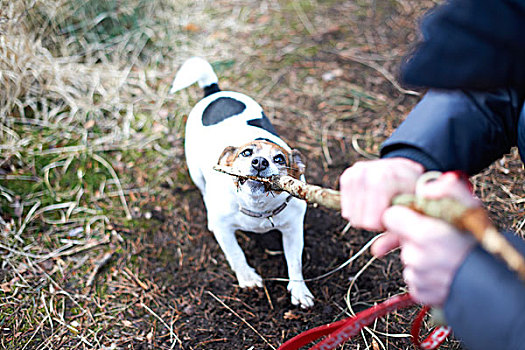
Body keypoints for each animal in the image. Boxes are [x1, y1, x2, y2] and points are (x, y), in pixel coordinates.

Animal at [170, 58, 314, 308]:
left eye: (279, 159)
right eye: (246, 153)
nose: (260, 162)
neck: (257, 208)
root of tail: (214, 90)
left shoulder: (293, 230)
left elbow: (294, 261)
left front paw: (299, 290)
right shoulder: (224, 230)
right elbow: (236, 254)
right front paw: (247, 278)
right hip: (195, 171)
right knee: (203, 190)